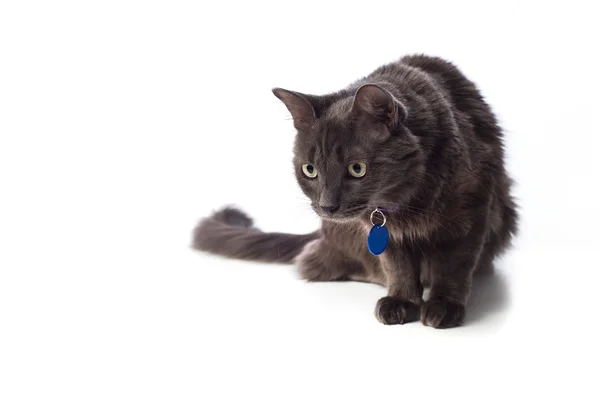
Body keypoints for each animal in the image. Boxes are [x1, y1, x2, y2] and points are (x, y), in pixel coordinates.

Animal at [192, 54, 516, 328]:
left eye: (357, 169)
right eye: (310, 170)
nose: (327, 206)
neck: (404, 198)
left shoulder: (471, 211)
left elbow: (454, 264)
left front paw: (443, 306)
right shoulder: (384, 231)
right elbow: (397, 266)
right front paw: (401, 301)